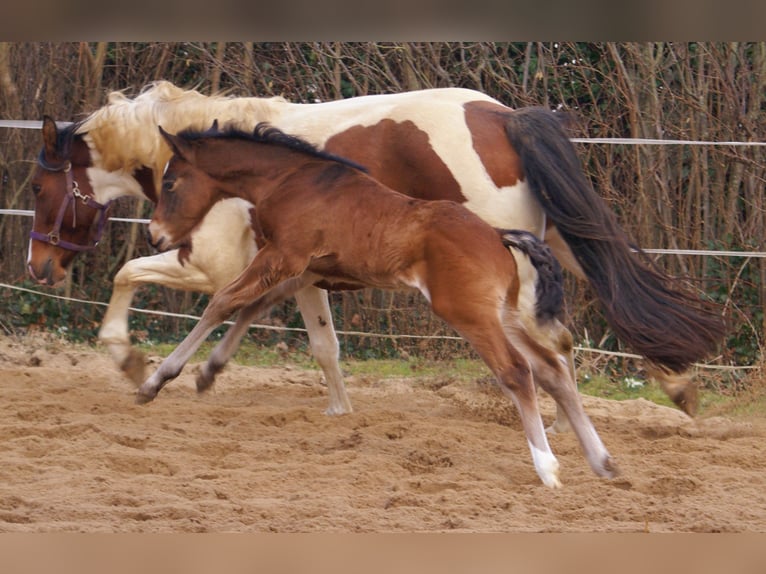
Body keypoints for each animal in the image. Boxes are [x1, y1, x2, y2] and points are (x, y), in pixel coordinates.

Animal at [27, 80, 724, 424]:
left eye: (36, 187)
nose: (39, 267)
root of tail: (503, 117)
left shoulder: (210, 265)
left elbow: (129, 275)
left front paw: (130, 360)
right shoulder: (298, 271)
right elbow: (320, 343)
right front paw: (337, 409)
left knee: (553, 337)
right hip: (549, 242)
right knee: (606, 300)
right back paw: (676, 386)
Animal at [146, 122, 616, 490]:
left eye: (170, 184)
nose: (154, 235)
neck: (292, 179)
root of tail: (499, 235)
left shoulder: (284, 256)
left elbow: (223, 301)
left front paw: (156, 381)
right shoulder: (304, 269)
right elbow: (249, 308)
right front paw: (208, 372)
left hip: (470, 315)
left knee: (518, 372)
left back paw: (548, 467)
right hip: (505, 314)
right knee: (551, 369)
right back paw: (602, 461)